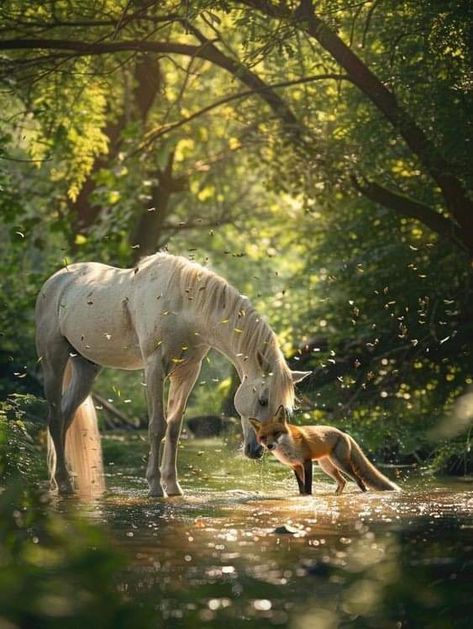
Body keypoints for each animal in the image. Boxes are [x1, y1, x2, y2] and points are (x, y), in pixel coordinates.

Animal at [37, 251, 310, 496]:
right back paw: (63, 484)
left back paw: (62, 480)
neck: (182, 306)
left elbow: (174, 427)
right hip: (54, 362)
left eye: (283, 409)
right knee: (55, 418)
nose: (258, 450)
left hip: (86, 369)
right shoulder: (154, 367)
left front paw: (173, 486)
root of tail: (56, 281)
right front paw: (155, 487)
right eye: (262, 400)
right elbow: (157, 426)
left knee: (66, 417)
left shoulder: (187, 373)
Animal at [249, 408, 400, 496]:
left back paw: (363, 492)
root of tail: (344, 433)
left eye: (276, 433)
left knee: (358, 479)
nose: (269, 446)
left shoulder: (306, 462)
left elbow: (308, 486)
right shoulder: (295, 466)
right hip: (327, 467)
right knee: (343, 481)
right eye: (263, 437)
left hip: (341, 464)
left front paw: (308, 496)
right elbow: (301, 487)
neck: (289, 447)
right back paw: (336, 495)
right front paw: (301, 496)